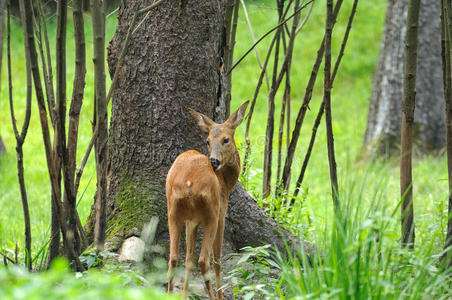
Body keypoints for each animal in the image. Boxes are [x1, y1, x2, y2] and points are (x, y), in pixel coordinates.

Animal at [166, 102, 249, 298]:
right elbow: (216, 260)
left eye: (226, 139)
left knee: (173, 258)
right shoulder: (221, 215)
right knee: (204, 260)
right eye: (208, 141)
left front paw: (184, 294)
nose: (214, 161)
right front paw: (220, 295)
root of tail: (188, 182)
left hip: (173, 211)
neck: (225, 182)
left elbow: (188, 259)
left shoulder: (192, 220)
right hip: (211, 213)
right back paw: (213, 296)